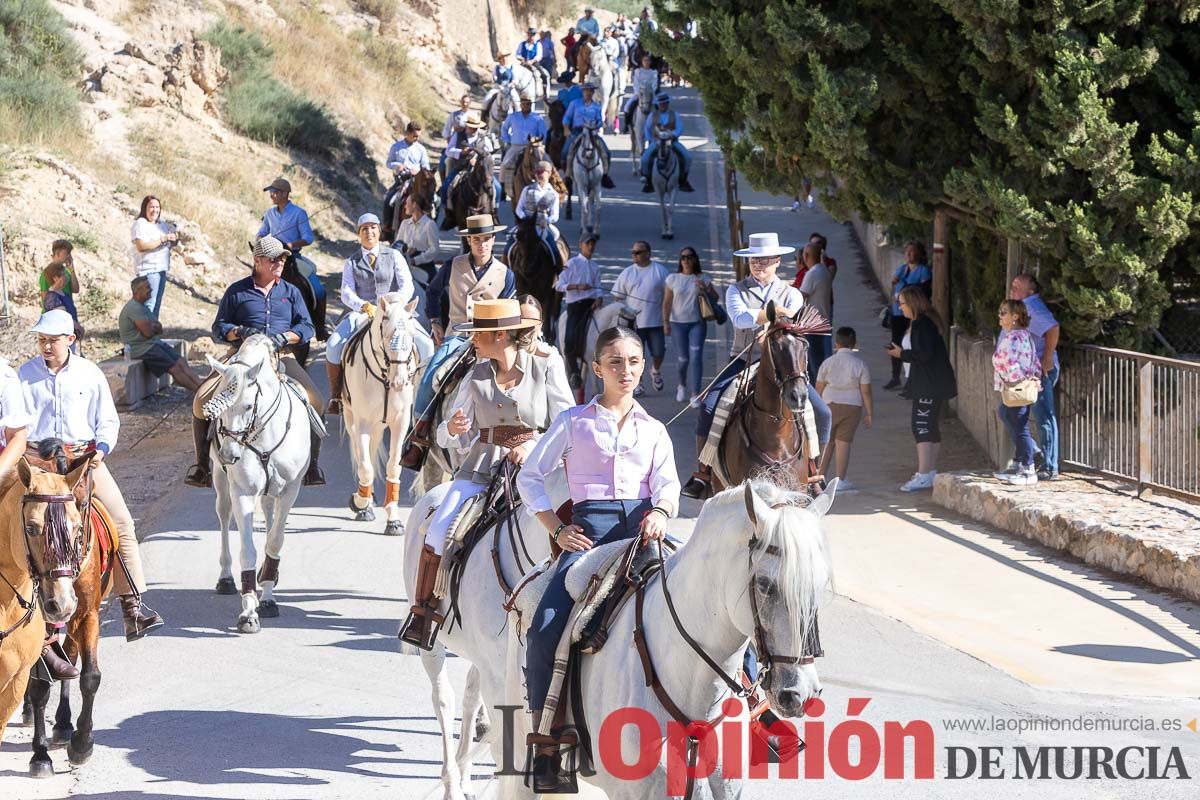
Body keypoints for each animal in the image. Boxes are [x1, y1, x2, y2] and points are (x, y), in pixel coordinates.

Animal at [202, 335, 316, 633]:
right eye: (217, 408)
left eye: (247, 406)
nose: (228, 455)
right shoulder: (242, 491)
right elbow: (248, 551)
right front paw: (249, 612)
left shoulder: (290, 490)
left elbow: (275, 541)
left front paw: (268, 598)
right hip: (221, 482)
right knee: (224, 515)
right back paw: (226, 579)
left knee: (269, 514)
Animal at [343, 292, 427, 532]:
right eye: (387, 334)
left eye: (411, 336)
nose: (399, 382)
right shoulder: (361, 422)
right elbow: (365, 467)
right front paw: (360, 502)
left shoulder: (400, 422)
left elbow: (393, 467)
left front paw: (393, 519)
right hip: (350, 418)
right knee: (363, 457)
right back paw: (365, 504)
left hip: (379, 425)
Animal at [400, 465, 568, 796]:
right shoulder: (499, 674)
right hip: (434, 645)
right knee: (444, 699)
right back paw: (452, 781)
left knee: (469, 697)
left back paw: (464, 774)